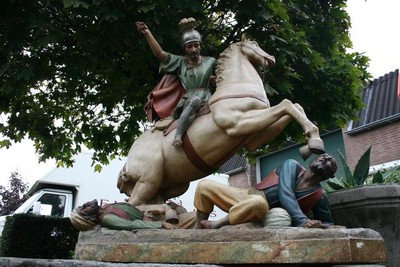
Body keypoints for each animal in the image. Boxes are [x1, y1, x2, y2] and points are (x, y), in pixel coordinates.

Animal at [117, 37, 324, 206]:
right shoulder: (238, 123)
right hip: (148, 180)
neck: (236, 87)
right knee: (132, 204)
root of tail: (128, 163)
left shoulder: (254, 137)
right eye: (254, 44)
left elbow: (294, 106)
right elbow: (287, 104)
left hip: (173, 185)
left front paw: (309, 146)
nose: (271, 58)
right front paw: (315, 141)